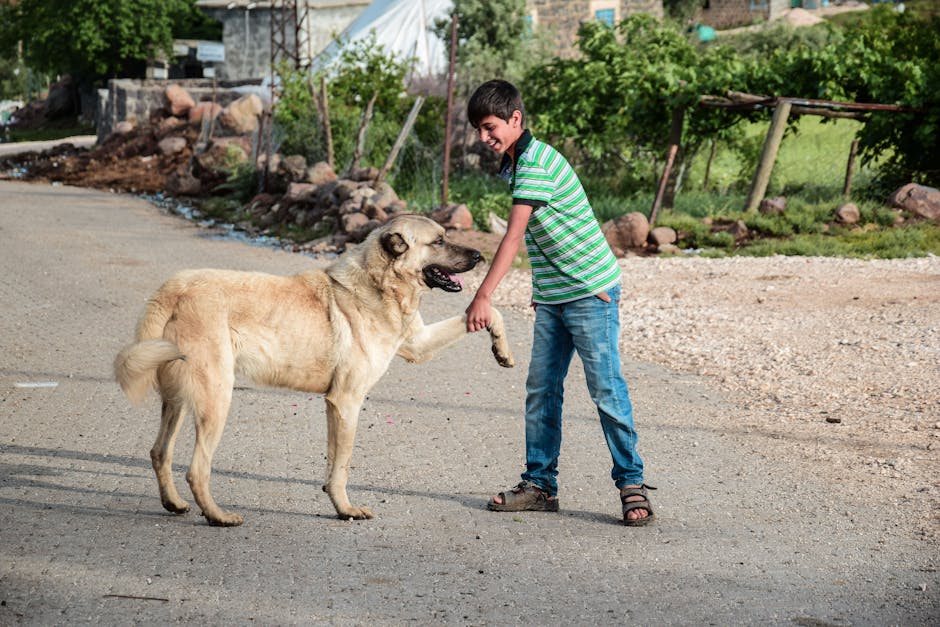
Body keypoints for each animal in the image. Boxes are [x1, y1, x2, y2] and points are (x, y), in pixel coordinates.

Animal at [116, 215, 516, 524]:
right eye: (439, 241)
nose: (481, 255)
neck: (380, 285)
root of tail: (174, 288)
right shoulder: (346, 402)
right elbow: (341, 467)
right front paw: (346, 510)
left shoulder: (415, 348)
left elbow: (487, 313)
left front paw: (502, 349)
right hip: (216, 398)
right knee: (197, 469)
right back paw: (218, 517)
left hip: (180, 400)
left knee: (159, 452)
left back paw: (174, 503)